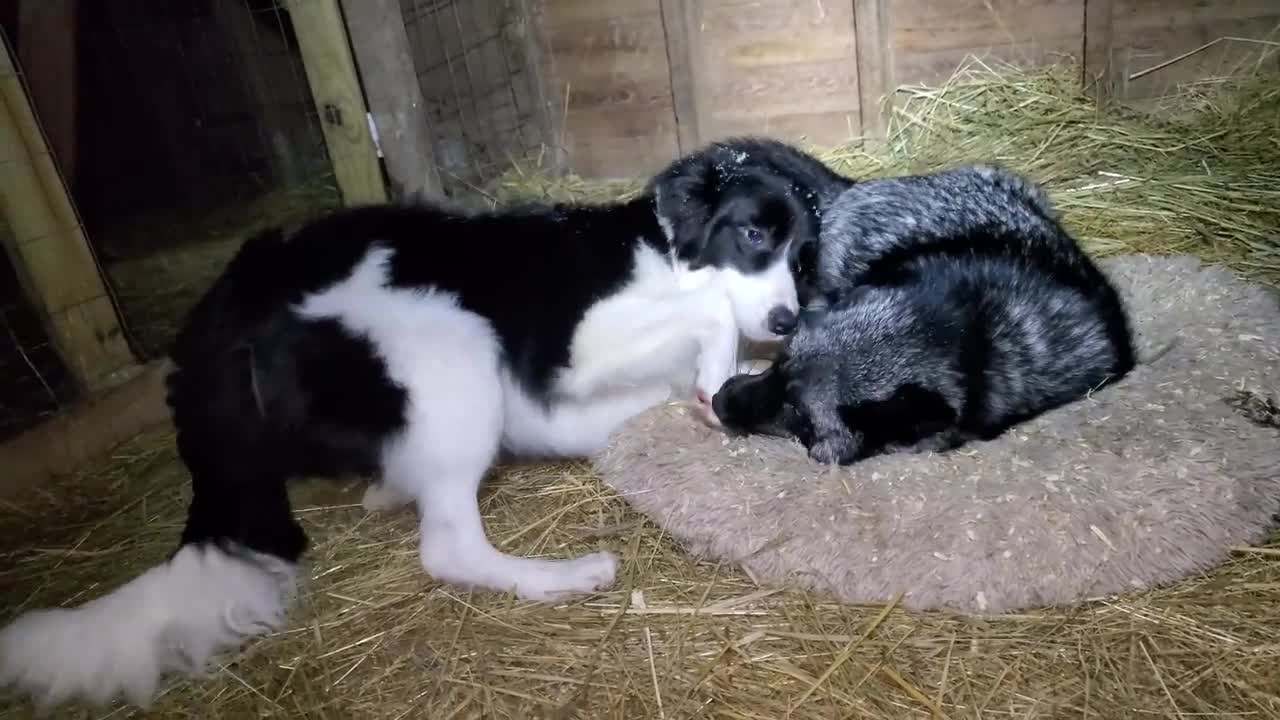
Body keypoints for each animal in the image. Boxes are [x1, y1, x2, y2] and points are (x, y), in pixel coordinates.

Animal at [2, 146, 808, 707]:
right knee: (449, 547)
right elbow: (709, 314)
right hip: (454, 345)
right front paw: (717, 377)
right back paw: (558, 577)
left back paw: (394, 492)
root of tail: (229, 306)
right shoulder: (575, 350)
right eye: (750, 234)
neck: (663, 252)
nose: (786, 318)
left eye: (804, 259)